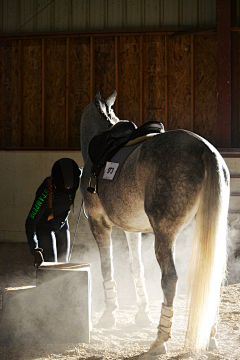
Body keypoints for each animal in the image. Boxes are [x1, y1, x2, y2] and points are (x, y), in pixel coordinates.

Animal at [79, 90, 230, 354]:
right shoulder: (132, 229)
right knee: (213, 277)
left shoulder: (98, 222)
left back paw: (161, 339)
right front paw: (142, 313)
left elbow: (107, 266)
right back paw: (209, 336)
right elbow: (136, 267)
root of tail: (205, 149)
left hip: (165, 234)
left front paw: (109, 314)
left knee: (169, 278)